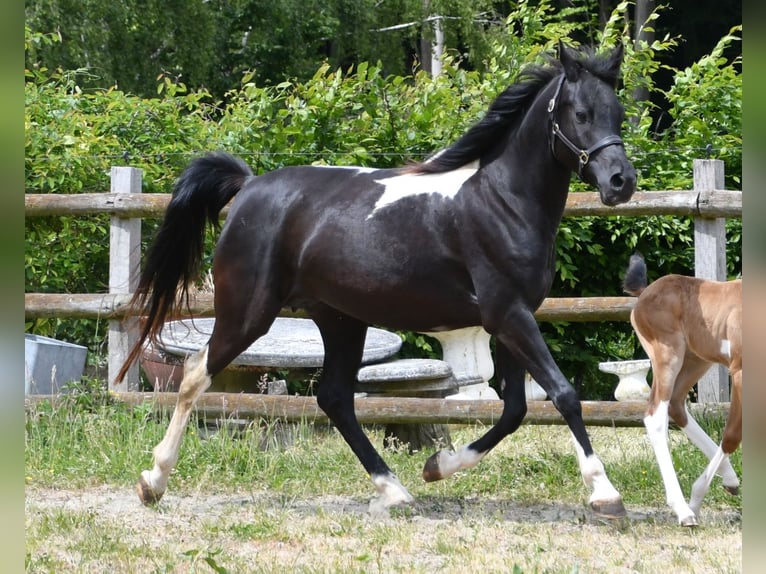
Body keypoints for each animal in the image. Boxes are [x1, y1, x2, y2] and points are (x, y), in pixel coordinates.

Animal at [117, 41, 636, 517]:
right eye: (582, 114)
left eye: (619, 114)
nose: (621, 182)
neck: (501, 201)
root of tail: (248, 187)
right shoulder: (509, 315)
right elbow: (563, 394)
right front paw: (605, 493)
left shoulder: (511, 319)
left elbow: (514, 410)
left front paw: (436, 466)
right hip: (249, 312)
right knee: (195, 374)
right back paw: (153, 481)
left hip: (341, 319)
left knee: (334, 398)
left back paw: (395, 490)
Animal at [622, 252, 742, 526]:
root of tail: (645, 292)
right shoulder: (741, 371)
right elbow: (732, 435)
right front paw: (696, 499)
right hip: (669, 356)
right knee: (656, 416)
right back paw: (685, 510)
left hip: (696, 361)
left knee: (676, 405)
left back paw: (729, 479)